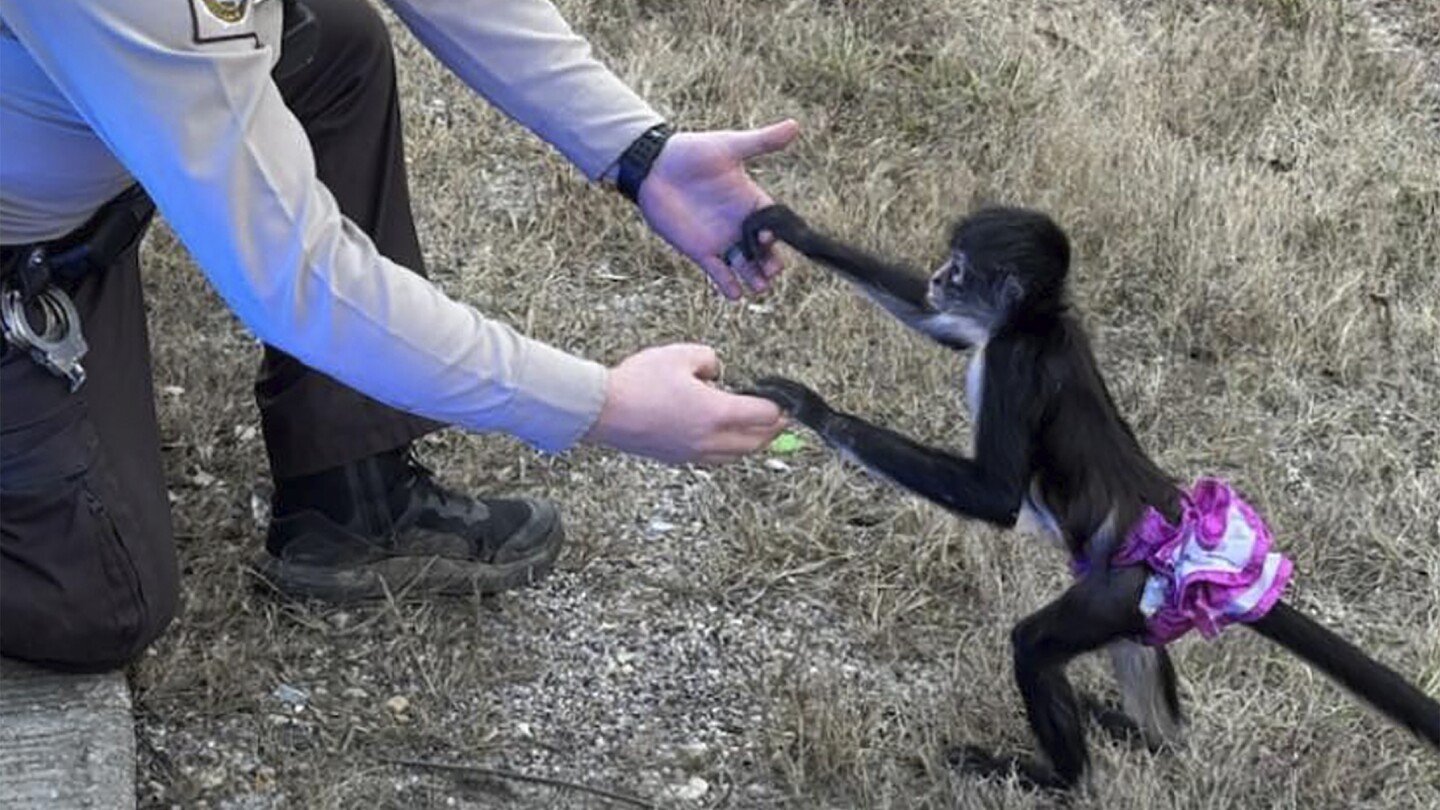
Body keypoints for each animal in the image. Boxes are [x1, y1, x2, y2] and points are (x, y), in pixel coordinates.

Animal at [743, 201, 1440, 789]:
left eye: (960, 267)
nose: (940, 276)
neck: (1038, 325)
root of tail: (1179, 524)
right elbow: (941, 325)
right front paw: (793, 228)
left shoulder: (1013, 363)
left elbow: (995, 497)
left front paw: (816, 411)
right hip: (1141, 603)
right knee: (1138, 660)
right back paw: (1148, 738)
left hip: (1117, 591)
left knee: (1034, 646)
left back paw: (1060, 780)